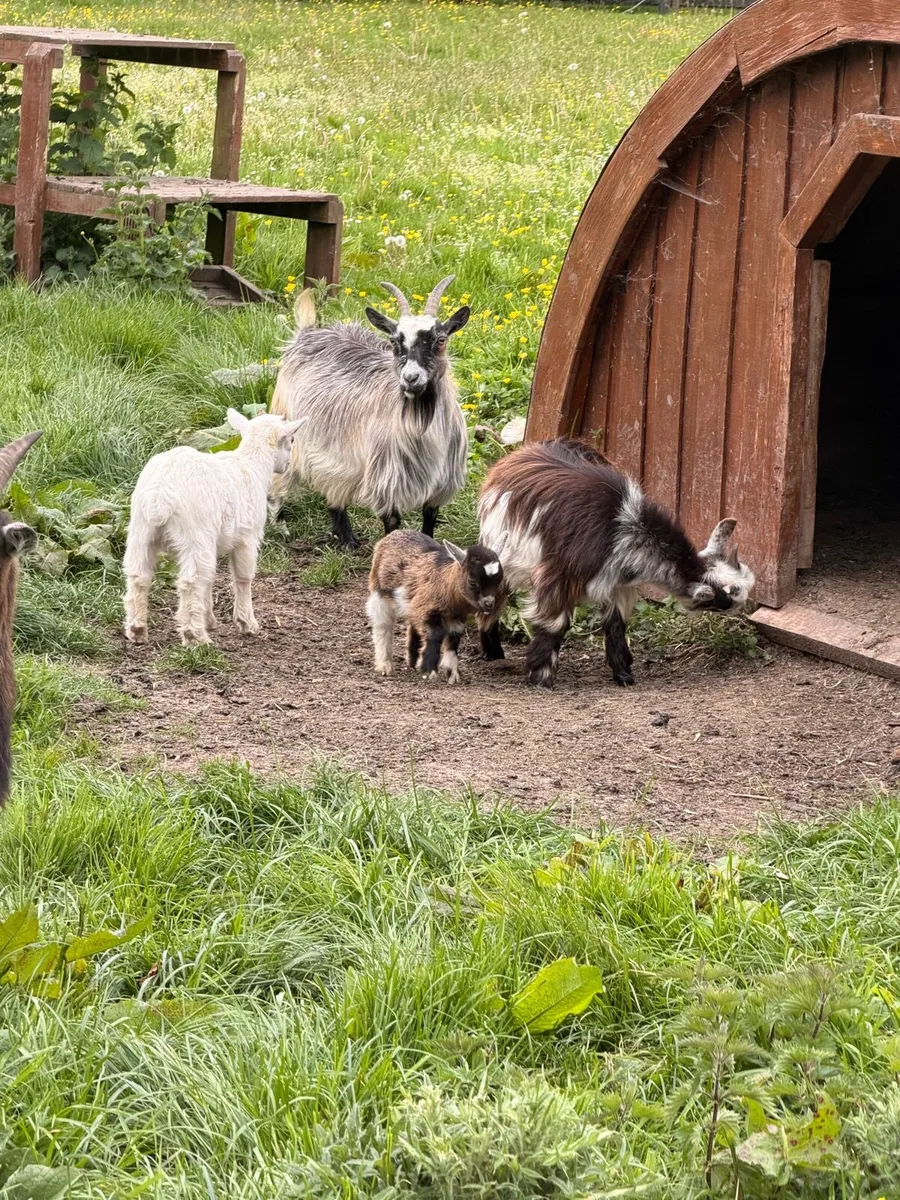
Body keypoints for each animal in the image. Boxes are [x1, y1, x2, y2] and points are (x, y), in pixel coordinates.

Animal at [123, 410, 304, 647]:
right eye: (291, 441)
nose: (287, 465)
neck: (251, 464)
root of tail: (160, 495)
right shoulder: (248, 536)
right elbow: (243, 577)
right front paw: (247, 623)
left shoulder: (216, 540)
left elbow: (210, 581)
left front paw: (209, 619)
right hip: (195, 533)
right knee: (191, 582)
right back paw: (195, 637)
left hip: (141, 530)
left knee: (138, 575)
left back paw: (137, 629)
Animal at [268, 276, 470, 548]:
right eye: (395, 341)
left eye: (440, 339)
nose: (411, 378)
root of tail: (308, 331)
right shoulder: (386, 480)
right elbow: (392, 523)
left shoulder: (440, 485)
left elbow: (429, 521)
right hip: (288, 424)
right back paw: (278, 522)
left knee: (333, 480)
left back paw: (345, 537)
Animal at [367, 530, 507, 684]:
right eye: (472, 581)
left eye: (499, 580)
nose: (489, 604)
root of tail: (394, 533)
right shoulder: (428, 610)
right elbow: (435, 635)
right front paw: (430, 671)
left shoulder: (455, 617)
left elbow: (453, 641)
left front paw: (453, 675)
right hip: (379, 592)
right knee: (383, 626)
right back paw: (385, 666)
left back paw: (412, 662)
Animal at [477, 437, 754, 688]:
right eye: (728, 597)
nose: (744, 608)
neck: (626, 526)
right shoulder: (560, 576)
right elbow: (555, 623)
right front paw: (541, 677)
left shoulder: (618, 584)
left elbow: (616, 625)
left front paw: (624, 675)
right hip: (498, 549)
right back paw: (493, 653)